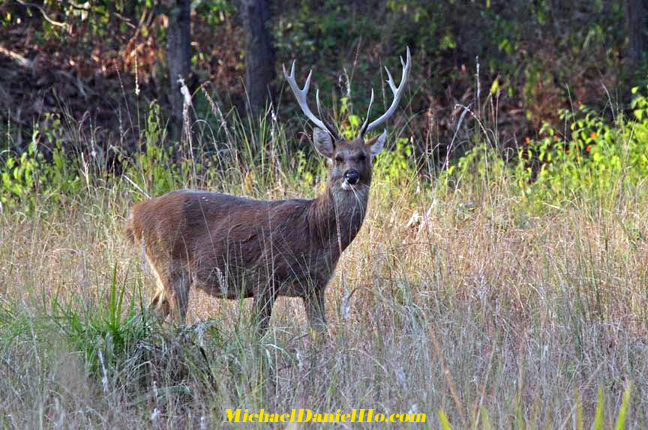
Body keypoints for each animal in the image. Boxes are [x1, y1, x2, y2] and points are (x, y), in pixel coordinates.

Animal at [126, 47, 410, 336]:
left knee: (149, 312)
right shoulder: (265, 275)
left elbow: (321, 334)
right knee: (174, 321)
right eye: (338, 158)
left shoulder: (315, 285)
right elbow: (257, 332)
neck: (317, 231)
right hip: (170, 265)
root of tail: (136, 213)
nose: (351, 176)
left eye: (363, 156)